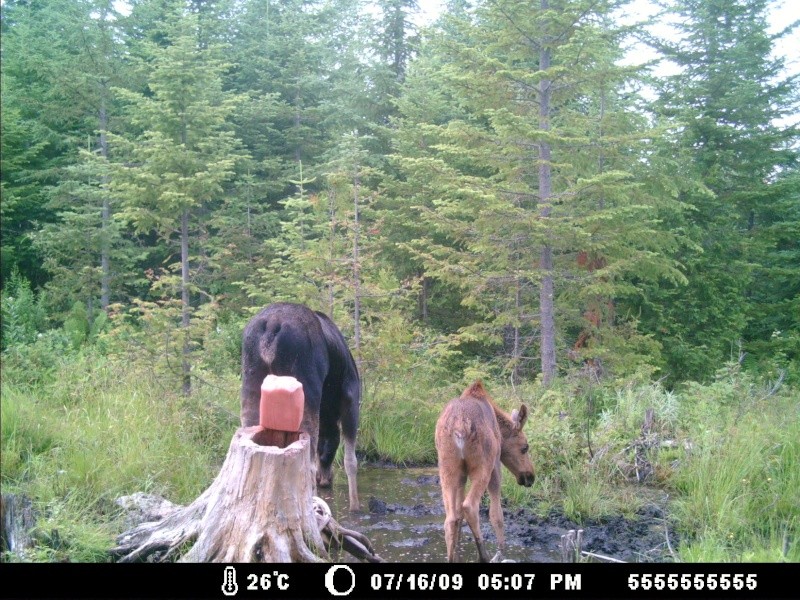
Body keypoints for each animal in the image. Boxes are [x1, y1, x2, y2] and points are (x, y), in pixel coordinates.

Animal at [239, 304, 360, 510]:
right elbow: (351, 461)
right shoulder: (351, 398)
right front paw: (356, 508)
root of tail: (272, 325)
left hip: (251, 384)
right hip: (306, 390)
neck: (329, 412)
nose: (326, 480)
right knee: (308, 467)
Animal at [434, 380, 536, 564]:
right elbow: (497, 515)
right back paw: (485, 555)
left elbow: (458, 515)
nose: (530, 476)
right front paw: (501, 552)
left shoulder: (462, 476)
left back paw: (452, 557)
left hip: (447, 468)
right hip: (483, 465)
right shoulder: (495, 464)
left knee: (450, 517)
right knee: (470, 506)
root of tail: (460, 426)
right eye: (525, 447)